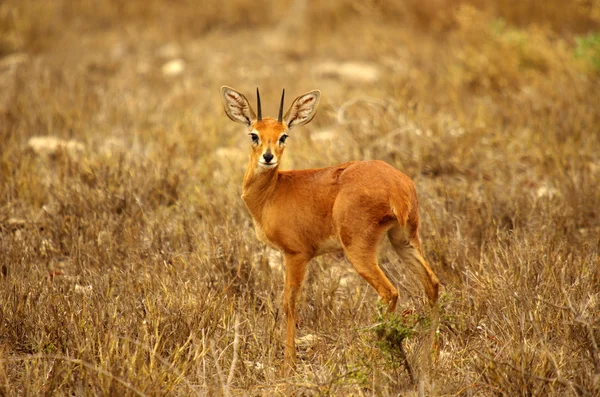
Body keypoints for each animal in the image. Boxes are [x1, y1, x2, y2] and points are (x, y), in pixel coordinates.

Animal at [218, 86, 438, 372]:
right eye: (254, 134)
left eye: (283, 135)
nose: (268, 157)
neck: (272, 192)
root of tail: (397, 185)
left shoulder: (296, 255)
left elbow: (290, 303)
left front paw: (288, 363)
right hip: (405, 239)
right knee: (432, 283)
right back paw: (429, 355)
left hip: (359, 250)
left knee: (390, 292)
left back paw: (371, 358)